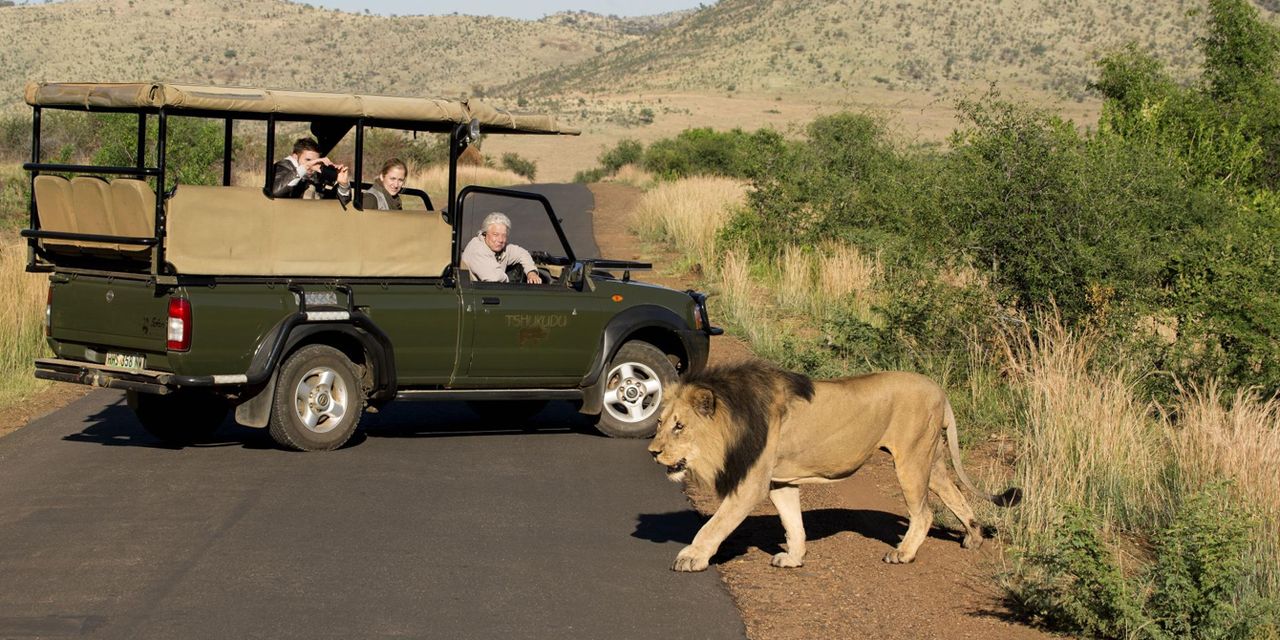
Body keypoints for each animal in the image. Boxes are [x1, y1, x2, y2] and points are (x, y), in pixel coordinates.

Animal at [650, 358, 1018, 573]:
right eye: (660, 422)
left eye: (680, 426)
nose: (653, 452)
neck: (736, 415)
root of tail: (939, 390)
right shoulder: (780, 481)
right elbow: (793, 523)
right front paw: (794, 558)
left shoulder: (750, 484)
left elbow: (714, 524)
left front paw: (692, 557)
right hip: (931, 459)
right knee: (955, 494)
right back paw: (974, 537)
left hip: (911, 460)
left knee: (925, 513)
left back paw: (903, 554)